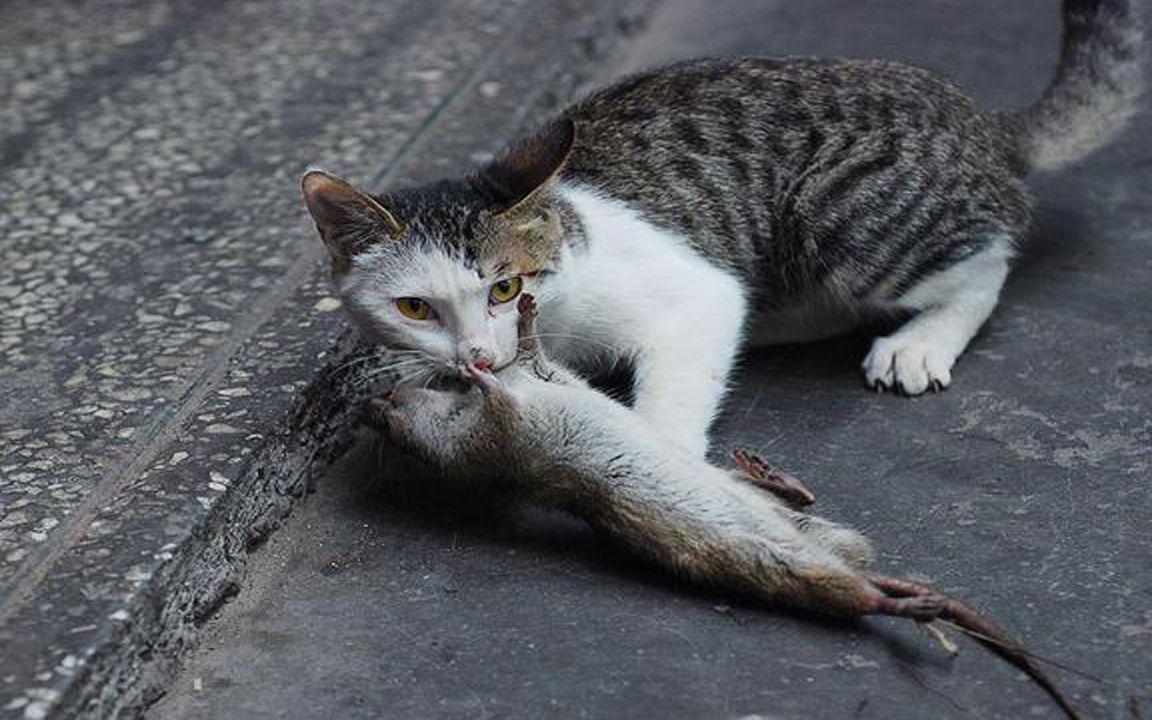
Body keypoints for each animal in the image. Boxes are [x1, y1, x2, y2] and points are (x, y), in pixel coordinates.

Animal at [301, 0, 1138, 458]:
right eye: (416, 307)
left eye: (505, 287)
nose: (476, 354)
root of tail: (979, 121)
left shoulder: (691, 293)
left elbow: (684, 359)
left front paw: (661, 460)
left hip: (838, 210)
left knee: (988, 255)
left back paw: (922, 338)